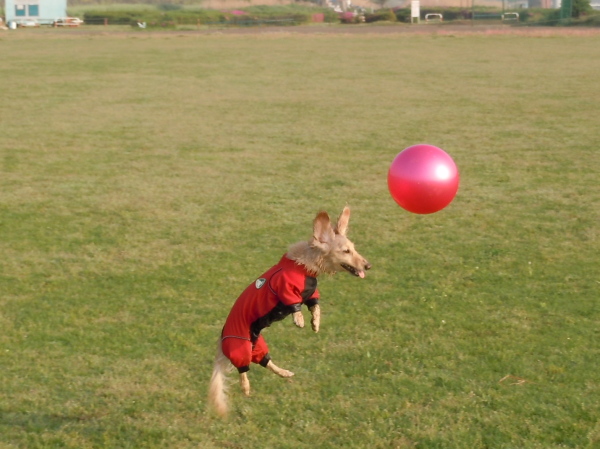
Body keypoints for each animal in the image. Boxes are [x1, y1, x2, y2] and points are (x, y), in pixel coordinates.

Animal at [210, 206, 370, 416]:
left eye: (354, 248)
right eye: (346, 251)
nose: (368, 265)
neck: (304, 267)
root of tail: (221, 340)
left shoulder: (311, 294)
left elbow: (316, 306)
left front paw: (315, 323)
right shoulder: (284, 289)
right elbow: (295, 305)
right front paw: (299, 319)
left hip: (257, 346)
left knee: (266, 362)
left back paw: (284, 372)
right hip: (240, 346)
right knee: (243, 370)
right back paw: (246, 387)